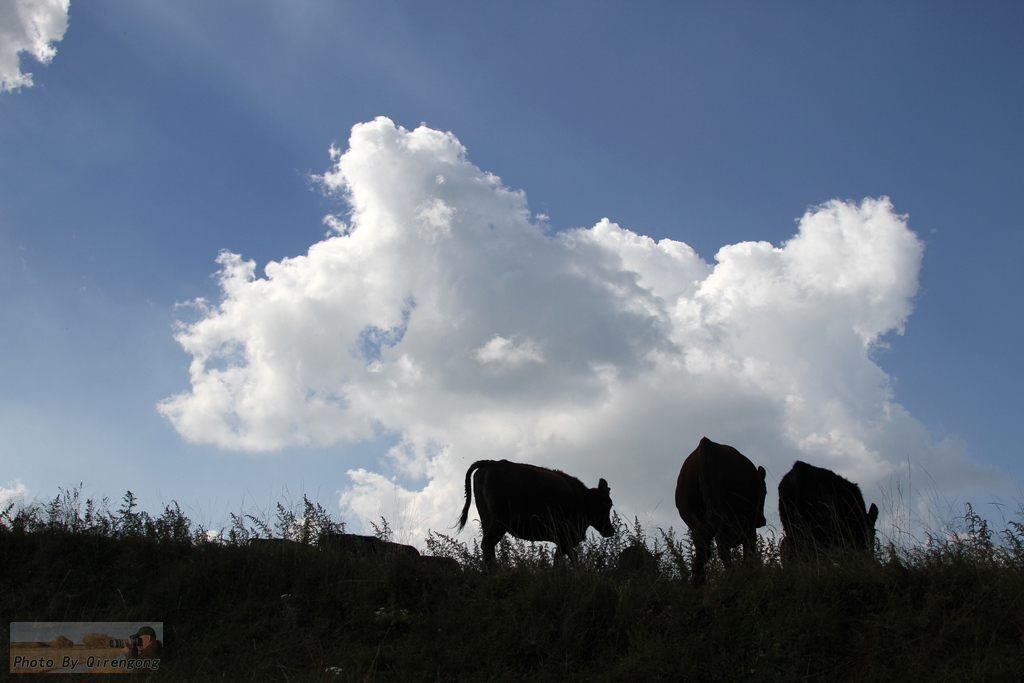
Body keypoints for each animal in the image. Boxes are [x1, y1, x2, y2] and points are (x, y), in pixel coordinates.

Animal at [458, 458, 614, 565]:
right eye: (608, 505)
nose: (610, 531)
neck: (582, 497)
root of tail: (491, 463)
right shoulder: (565, 538)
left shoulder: (564, 541)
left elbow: (573, 558)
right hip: (499, 521)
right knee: (488, 544)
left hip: (487, 519)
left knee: (487, 547)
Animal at [675, 438, 765, 589]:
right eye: (765, 492)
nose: (761, 521)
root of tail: (705, 444)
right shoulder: (749, 526)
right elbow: (749, 549)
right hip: (726, 512)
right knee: (721, 542)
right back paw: (733, 575)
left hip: (688, 510)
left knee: (701, 541)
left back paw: (698, 583)